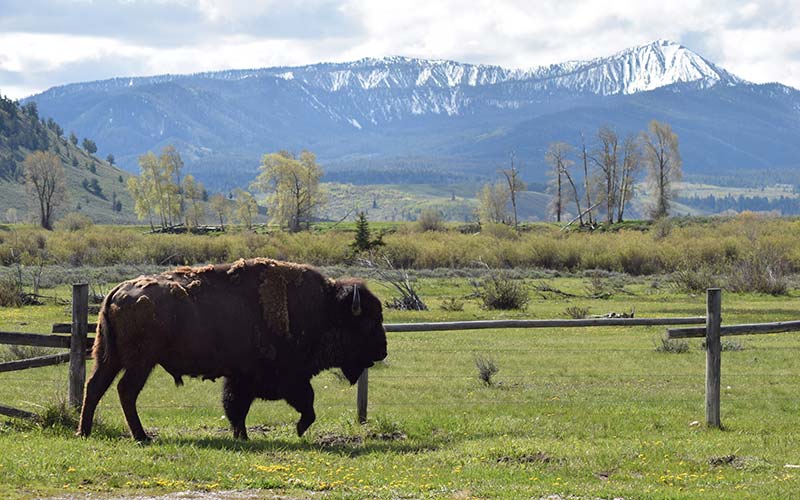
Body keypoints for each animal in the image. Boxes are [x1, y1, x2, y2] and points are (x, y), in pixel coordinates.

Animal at [77, 260, 388, 440]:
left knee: (95, 386)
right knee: (125, 391)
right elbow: (305, 403)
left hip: (109, 357)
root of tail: (117, 291)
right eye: (367, 322)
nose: (383, 351)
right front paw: (297, 430)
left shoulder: (241, 377)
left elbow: (236, 406)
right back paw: (141, 436)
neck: (325, 309)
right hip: (141, 362)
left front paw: (242, 436)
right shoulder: (282, 377)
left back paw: (85, 431)